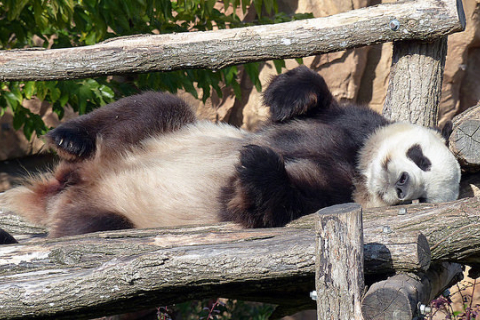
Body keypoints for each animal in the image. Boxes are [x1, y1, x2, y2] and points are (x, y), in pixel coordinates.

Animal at [0, 66, 462, 239]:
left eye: (420, 199)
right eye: (420, 157)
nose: (402, 184)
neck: (356, 168)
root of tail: (74, 184)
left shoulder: (327, 198)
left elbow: (262, 206)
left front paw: (255, 162)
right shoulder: (352, 124)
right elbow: (314, 101)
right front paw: (287, 99)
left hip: (109, 213)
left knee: (88, 224)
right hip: (160, 131)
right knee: (152, 106)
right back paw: (70, 138)